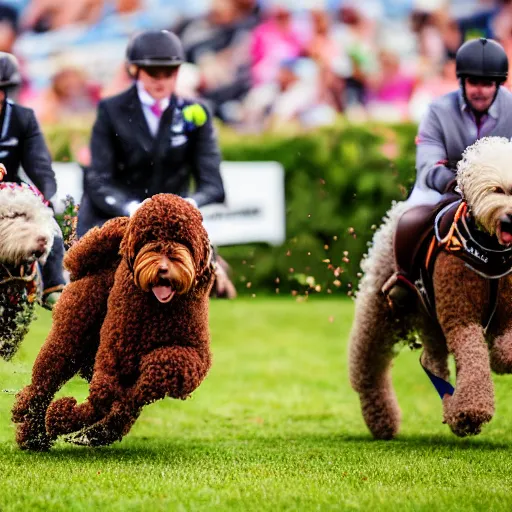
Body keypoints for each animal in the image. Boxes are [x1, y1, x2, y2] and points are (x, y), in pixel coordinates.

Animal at [13, 194, 214, 450]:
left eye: (183, 239)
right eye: (150, 237)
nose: (163, 267)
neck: (158, 309)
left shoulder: (194, 353)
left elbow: (161, 372)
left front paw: (84, 428)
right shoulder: (113, 359)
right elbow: (103, 396)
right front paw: (66, 418)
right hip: (70, 336)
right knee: (44, 382)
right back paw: (32, 424)